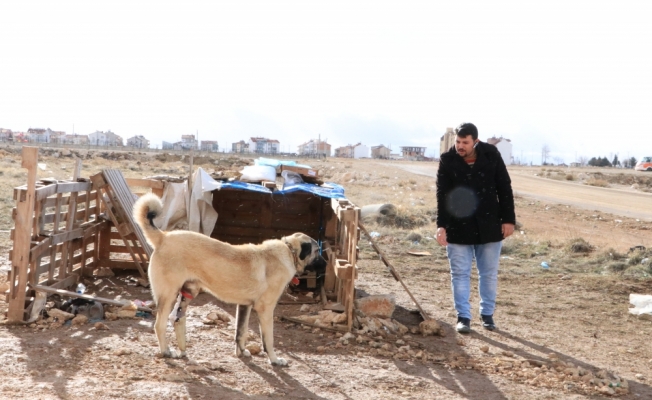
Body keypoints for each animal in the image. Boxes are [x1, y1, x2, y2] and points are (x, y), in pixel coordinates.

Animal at [132, 193, 326, 366]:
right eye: (317, 251)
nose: (326, 264)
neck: (289, 251)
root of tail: (163, 236)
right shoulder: (265, 309)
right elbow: (268, 339)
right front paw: (275, 360)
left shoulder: (245, 306)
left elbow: (241, 331)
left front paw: (242, 352)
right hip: (169, 295)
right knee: (159, 324)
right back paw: (166, 351)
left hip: (187, 293)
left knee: (177, 320)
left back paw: (183, 350)